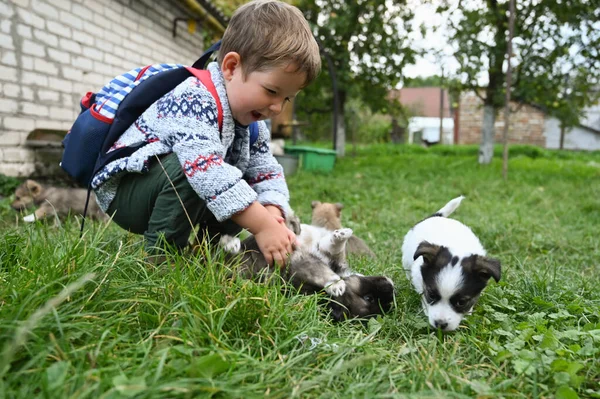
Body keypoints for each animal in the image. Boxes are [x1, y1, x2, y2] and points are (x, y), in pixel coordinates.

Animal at [223, 216, 396, 322]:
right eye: (369, 298)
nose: (391, 287)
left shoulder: (305, 265)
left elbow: (323, 270)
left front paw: (336, 286)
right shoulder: (326, 258)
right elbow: (335, 249)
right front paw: (342, 233)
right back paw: (230, 242)